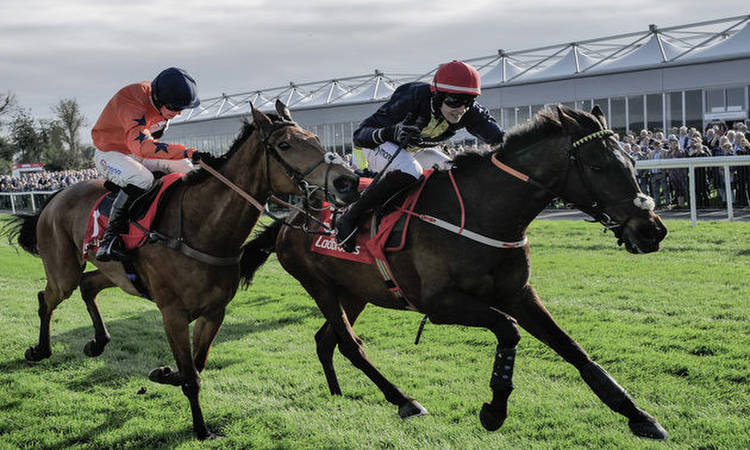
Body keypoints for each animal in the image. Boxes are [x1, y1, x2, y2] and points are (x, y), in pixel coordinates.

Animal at [0, 102, 358, 440]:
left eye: (315, 139)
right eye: (284, 144)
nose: (348, 181)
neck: (202, 229)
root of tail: (54, 197)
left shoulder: (213, 312)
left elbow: (197, 365)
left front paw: (165, 373)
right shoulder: (172, 314)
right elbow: (192, 377)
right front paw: (201, 429)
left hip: (116, 273)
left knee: (88, 285)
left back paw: (98, 342)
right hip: (63, 270)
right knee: (47, 297)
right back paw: (40, 349)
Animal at [239, 104, 668, 440]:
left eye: (632, 162)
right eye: (598, 166)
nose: (652, 230)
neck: (485, 212)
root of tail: (293, 217)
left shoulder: (519, 294)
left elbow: (573, 349)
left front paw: (639, 416)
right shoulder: (440, 304)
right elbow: (508, 329)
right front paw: (494, 409)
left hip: (355, 293)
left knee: (325, 340)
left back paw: (337, 393)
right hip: (320, 287)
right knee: (349, 344)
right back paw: (404, 400)